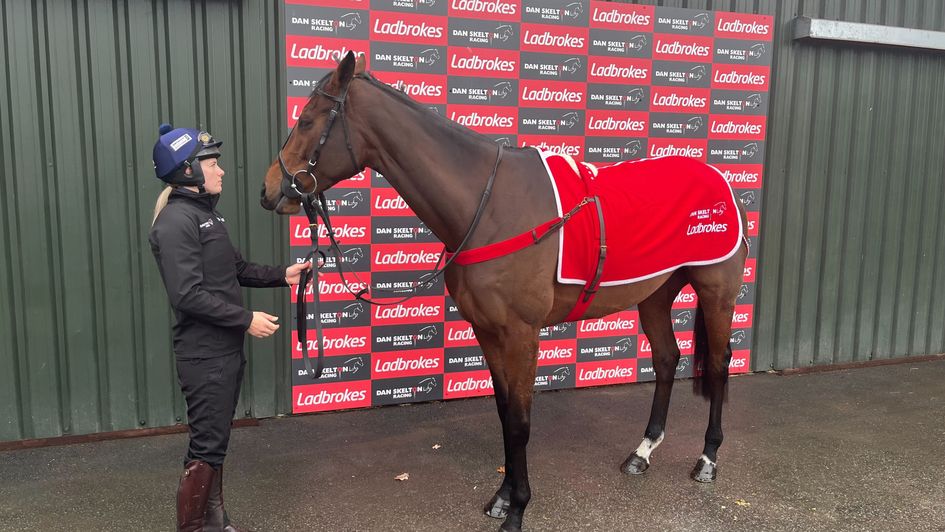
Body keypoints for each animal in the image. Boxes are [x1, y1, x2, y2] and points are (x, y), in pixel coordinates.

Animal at [261, 51, 748, 532]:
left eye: (307, 119)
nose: (269, 190)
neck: (489, 206)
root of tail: (720, 179)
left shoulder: (521, 334)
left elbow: (519, 422)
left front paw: (517, 510)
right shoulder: (488, 331)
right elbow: (503, 412)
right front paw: (502, 497)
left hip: (716, 292)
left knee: (719, 364)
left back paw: (708, 459)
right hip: (655, 294)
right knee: (666, 358)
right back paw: (642, 452)